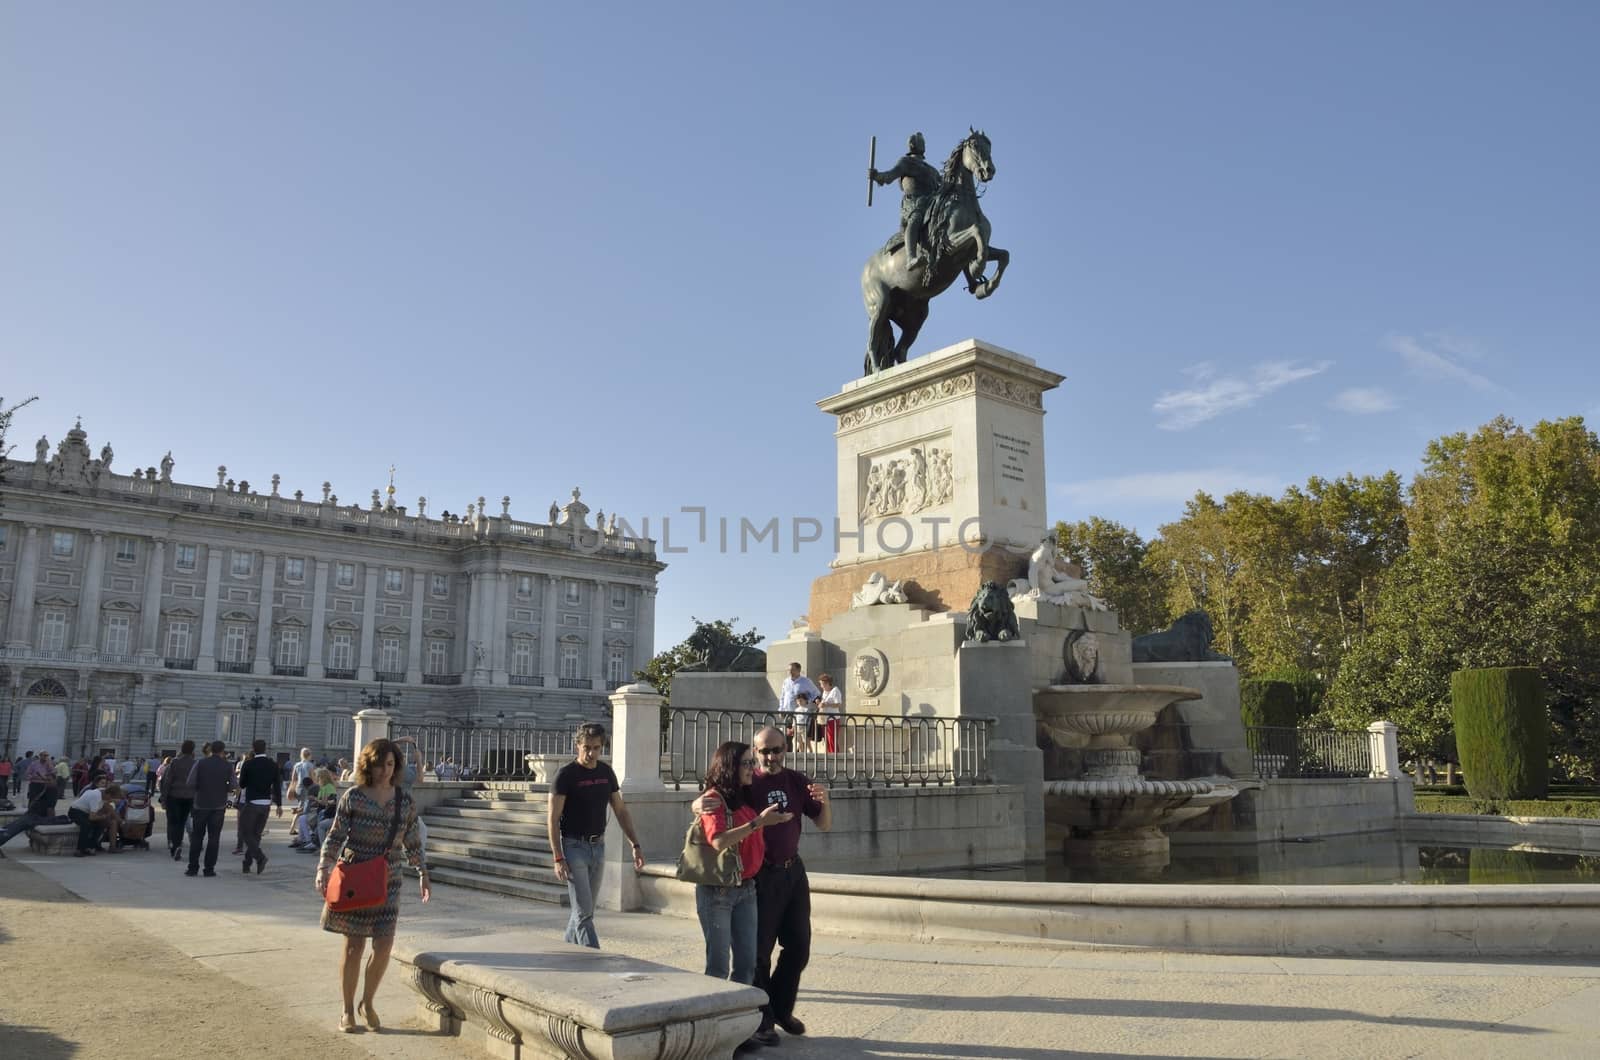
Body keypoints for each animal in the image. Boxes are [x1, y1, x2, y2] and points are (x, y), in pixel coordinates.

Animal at [864, 131, 1011, 376]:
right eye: (974, 147)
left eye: (989, 147)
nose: (988, 171)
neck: (962, 201)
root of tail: (865, 270)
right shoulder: (948, 245)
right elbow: (977, 232)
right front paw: (977, 268)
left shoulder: (974, 249)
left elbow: (1003, 254)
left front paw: (985, 286)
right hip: (880, 304)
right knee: (873, 340)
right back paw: (877, 371)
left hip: (914, 315)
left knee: (899, 350)